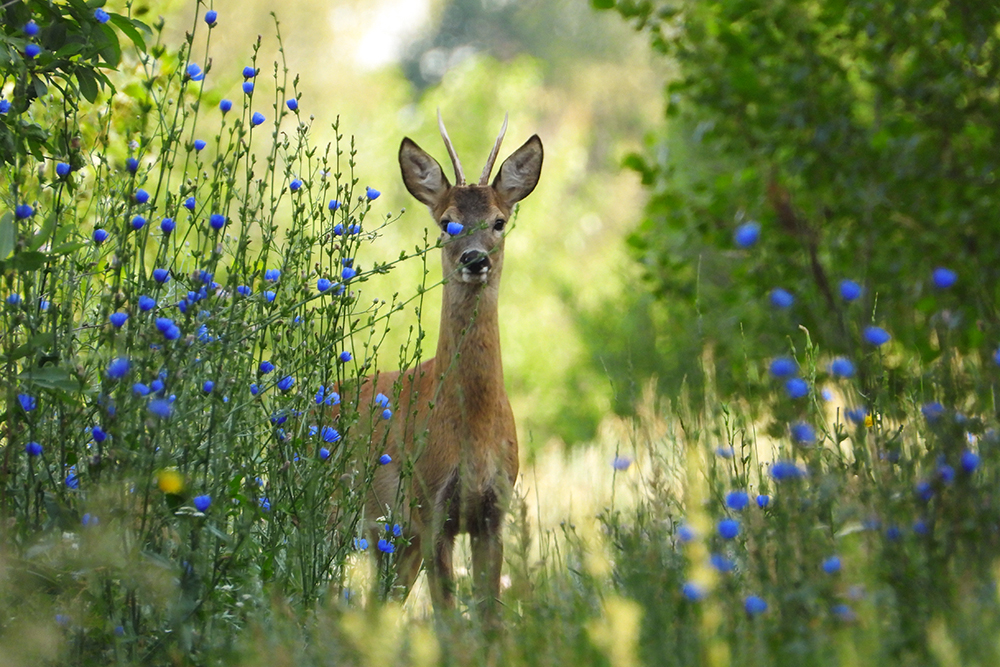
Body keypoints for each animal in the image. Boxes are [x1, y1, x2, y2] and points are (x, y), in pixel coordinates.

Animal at [356, 113, 544, 620]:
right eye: (447, 222)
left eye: (499, 221)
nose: (474, 259)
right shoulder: (429, 507)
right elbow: (448, 621)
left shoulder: (492, 513)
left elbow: (489, 618)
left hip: (395, 543)